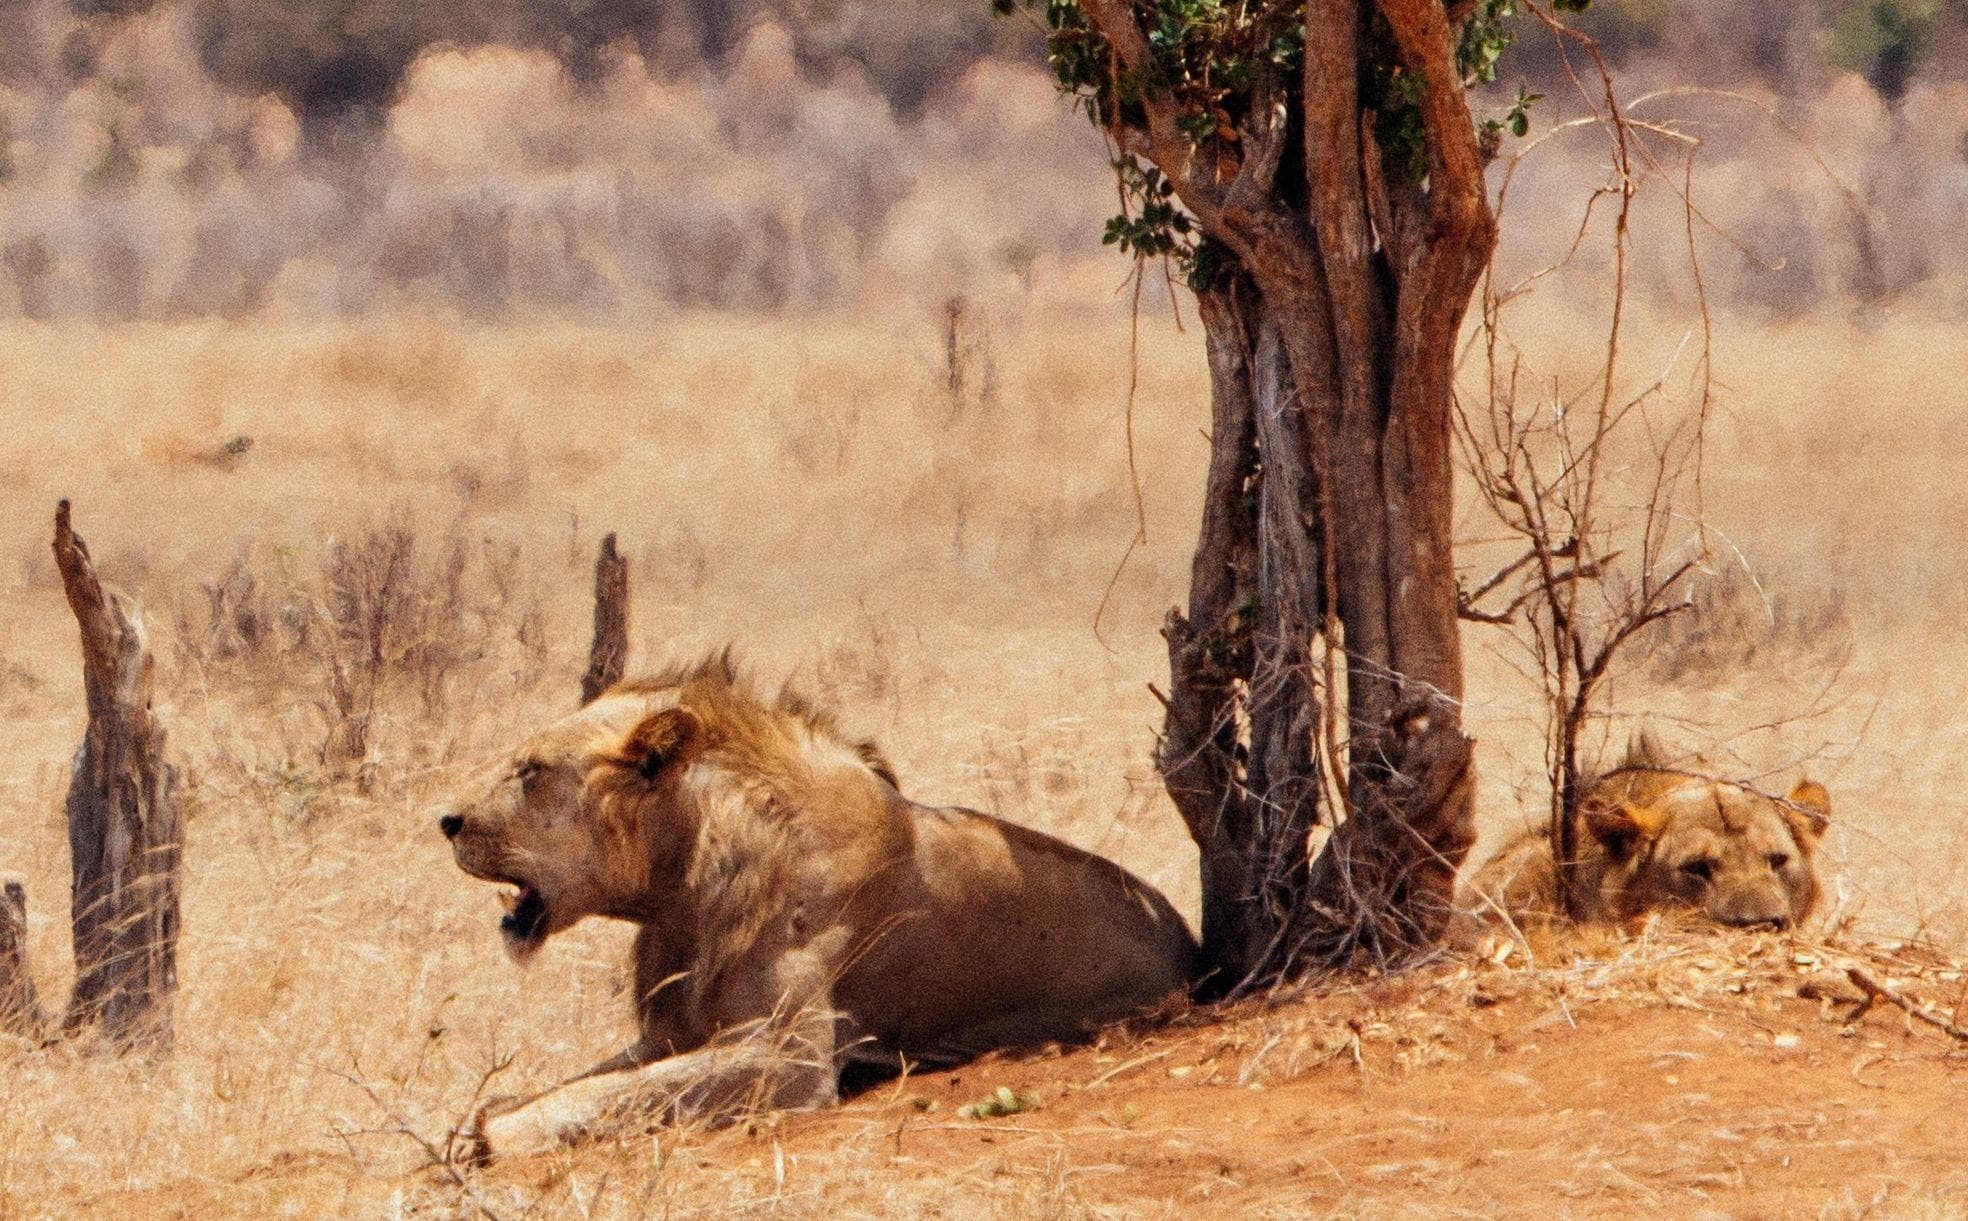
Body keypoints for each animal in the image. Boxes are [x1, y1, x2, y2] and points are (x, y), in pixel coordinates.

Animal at [439, 654, 1199, 1159]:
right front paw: (490, 1111)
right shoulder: (671, 1031)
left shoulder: (790, 1057)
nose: (445, 821)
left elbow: (632, 1091)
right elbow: (610, 1078)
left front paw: (496, 1132)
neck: (680, 890)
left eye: (531, 770)